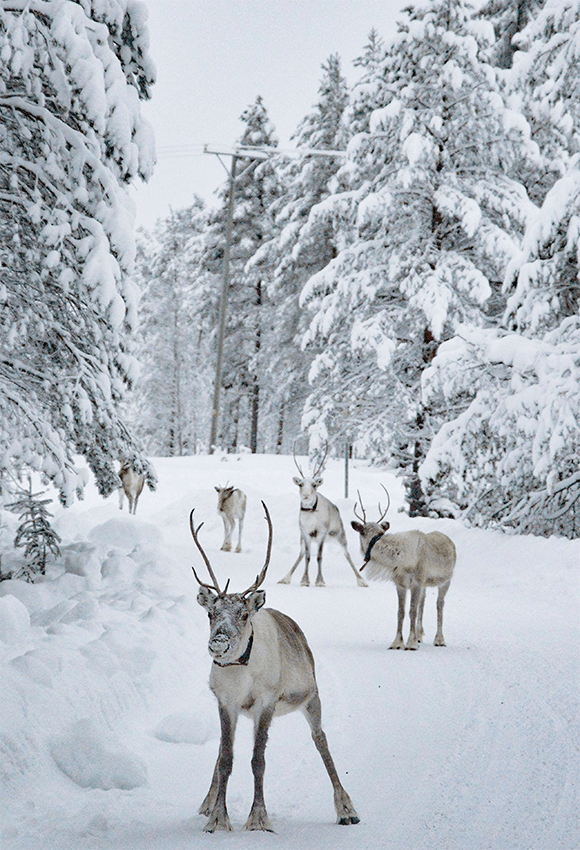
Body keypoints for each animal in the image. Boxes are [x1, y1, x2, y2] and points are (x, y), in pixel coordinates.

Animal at [190, 503, 360, 833]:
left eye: (243, 614)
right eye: (211, 613)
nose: (219, 642)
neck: (240, 671)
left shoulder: (265, 702)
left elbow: (258, 761)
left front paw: (258, 818)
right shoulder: (226, 703)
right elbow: (226, 758)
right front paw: (217, 818)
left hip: (312, 697)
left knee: (321, 740)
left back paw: (346, 809)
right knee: (221, 753)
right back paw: (205, 803)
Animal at [278, 445, 367, 588]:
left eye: (314, 485)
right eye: (300, 484)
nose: (306, 496)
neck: (310, 515)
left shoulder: (322, 533)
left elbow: (319, 557)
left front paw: (319, 581)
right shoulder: (305, 533)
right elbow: (307, 556)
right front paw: (305, 580)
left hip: (340, 535)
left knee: (347, 554)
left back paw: (361, 580)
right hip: (303, 539)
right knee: (301, 554)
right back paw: (285, 578)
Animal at [351, 489, 456, 650]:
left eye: (362, 532)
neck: (398, 558)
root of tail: (450, 542)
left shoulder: (416, 582)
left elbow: (412, 611)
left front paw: (411, 643)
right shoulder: (400, 584)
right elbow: (401, 612)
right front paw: (397, 642)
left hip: (446, 581)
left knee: (439, 604)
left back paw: (439, 639)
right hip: (425, 584)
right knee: (423, 602)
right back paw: (419, 635)